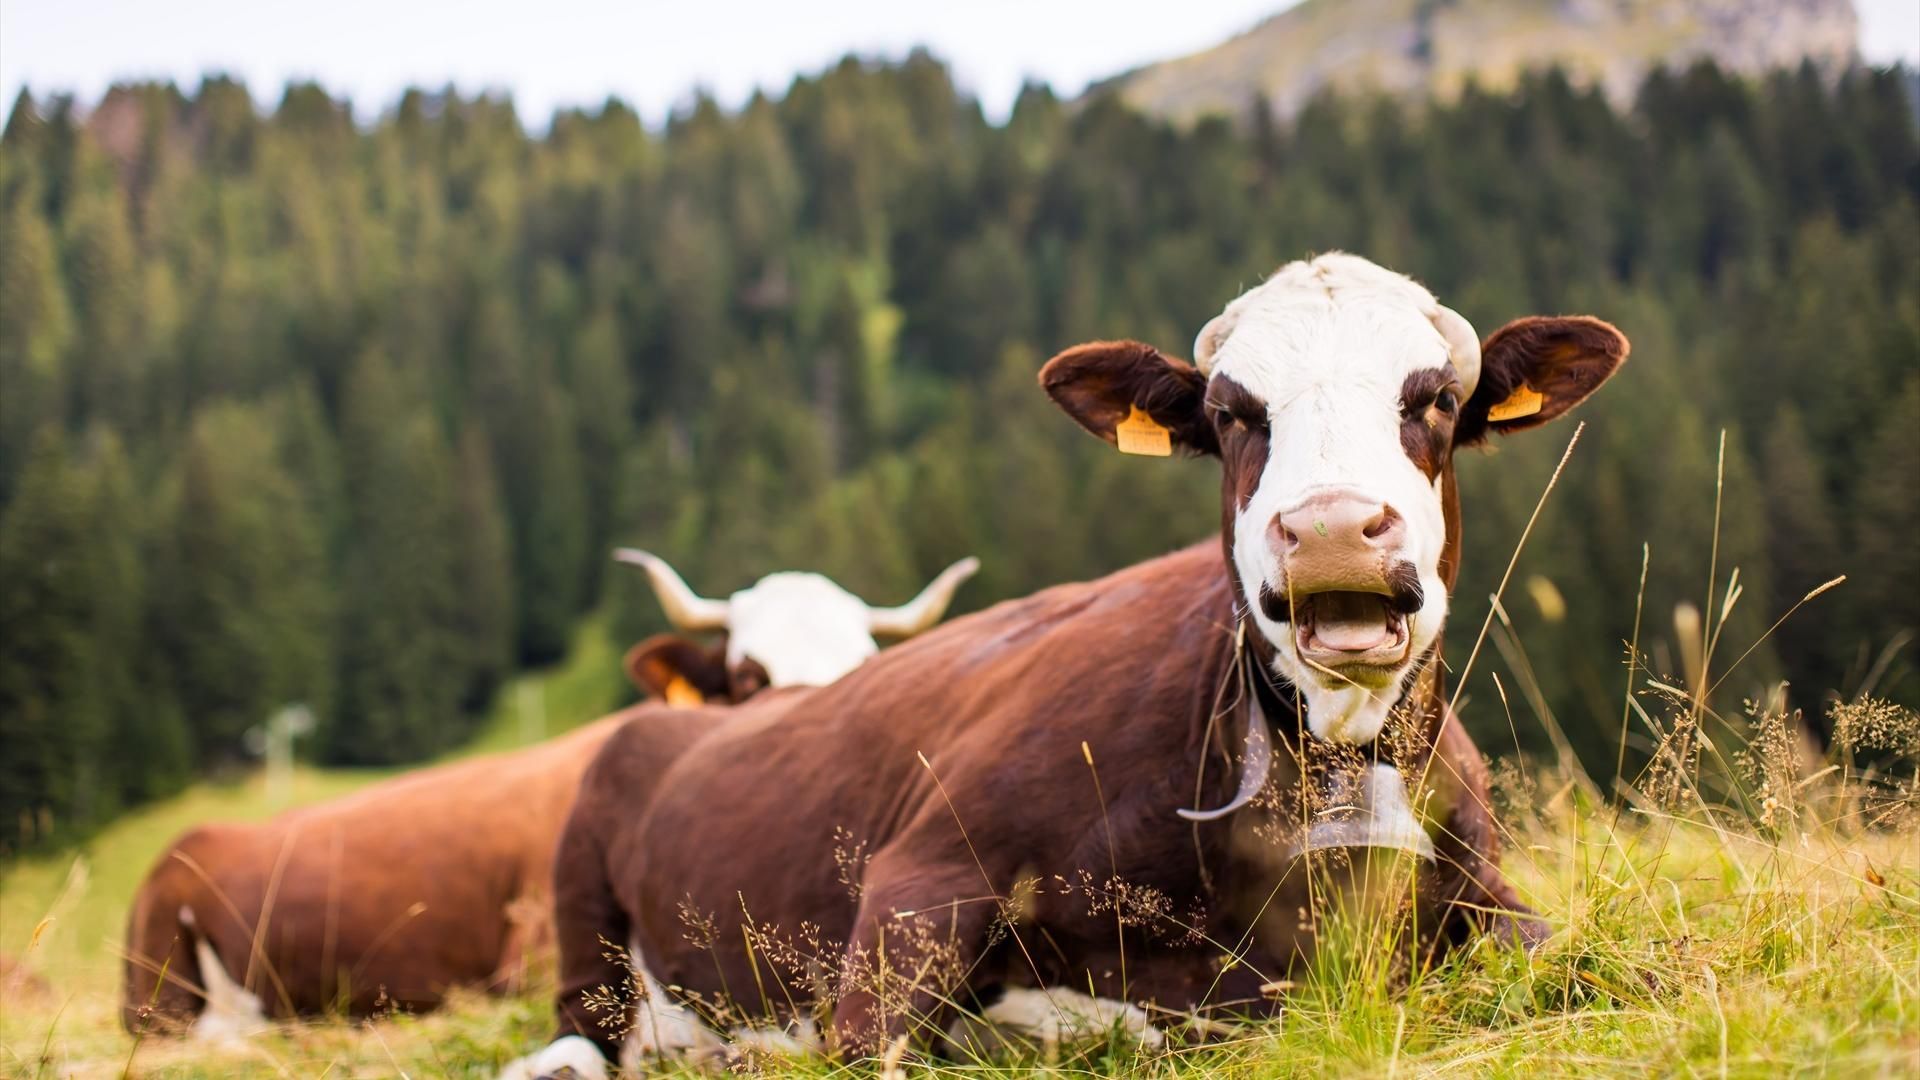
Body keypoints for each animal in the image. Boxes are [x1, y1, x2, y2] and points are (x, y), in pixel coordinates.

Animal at [507, 253, 1627, 1079]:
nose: (1333, 532)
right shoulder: (919, 880)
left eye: (1432, 398)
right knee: (579, 1039)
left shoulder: (1482, 890)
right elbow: (875, 1047)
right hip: (587, 917)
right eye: (1233, 414)